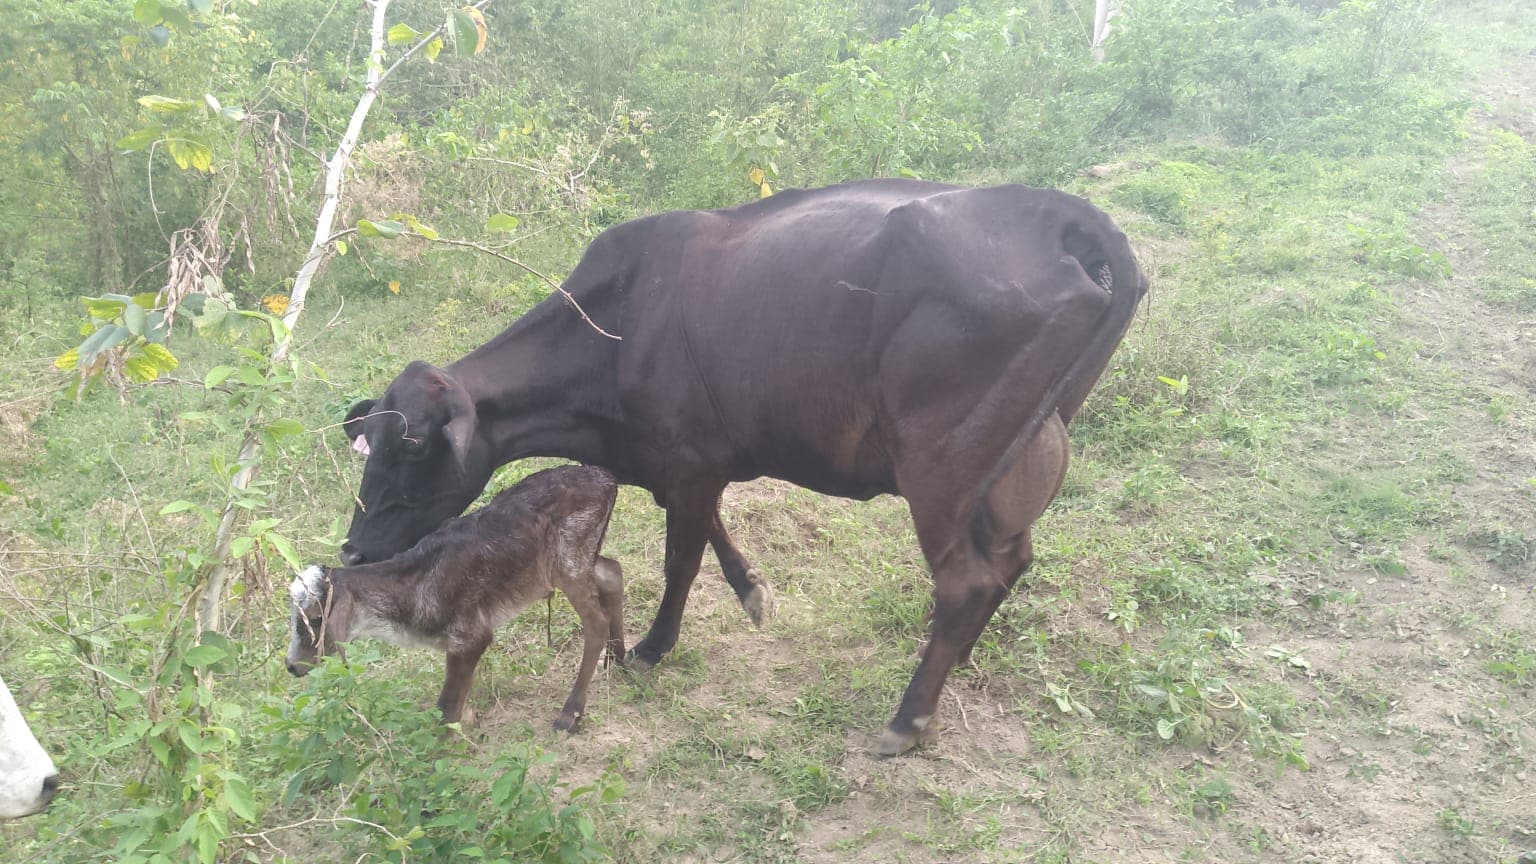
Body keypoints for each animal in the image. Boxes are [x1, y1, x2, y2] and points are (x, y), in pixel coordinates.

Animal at [338, 178, 1145, 754]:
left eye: (413, 447)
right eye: (368, 442)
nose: (353, 547)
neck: (616, 327)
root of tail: (1047, 212)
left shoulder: (689, 459)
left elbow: (681, 559)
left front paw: (652, 648)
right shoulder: (690, 459)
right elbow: (711, 533)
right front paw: (752, 588)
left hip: (943, 466)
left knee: (968, 579)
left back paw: (908, 718)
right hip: (1019, 461)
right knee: (1010, 563)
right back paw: (956, 665)